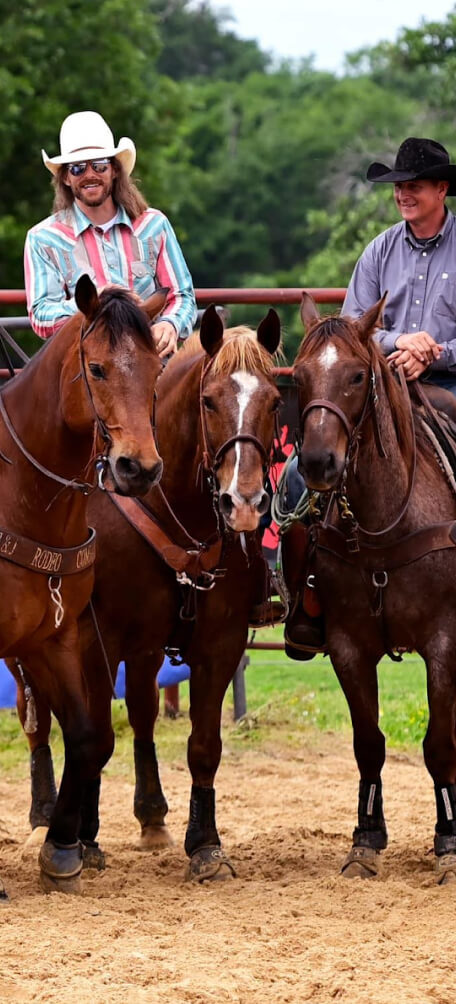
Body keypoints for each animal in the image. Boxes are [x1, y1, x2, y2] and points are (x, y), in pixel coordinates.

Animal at [0, 277, 163, 895]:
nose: (138, 467)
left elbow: (89, 735)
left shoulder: (57, 636)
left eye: (157, 366)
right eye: (96, 368)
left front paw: (62, 851)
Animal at [11, 303, 281, 879]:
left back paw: (151, 814)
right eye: (209, 400)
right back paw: (45, 815)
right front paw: (81, 838)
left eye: (274, 400)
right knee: (36, 717)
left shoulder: (217, 640)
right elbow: (93, 732)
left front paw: (205, 846)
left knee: (139, 710)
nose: (243, 503)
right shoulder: (94, 637)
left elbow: (202, 744)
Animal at [283, 293, 456, 887]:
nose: (317, 462)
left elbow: (439, 744)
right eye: (299, 375)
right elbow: (368, 745)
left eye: (358, 375)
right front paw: (366, 839)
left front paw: (448, 841)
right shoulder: (348, 647)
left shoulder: (444, 644)